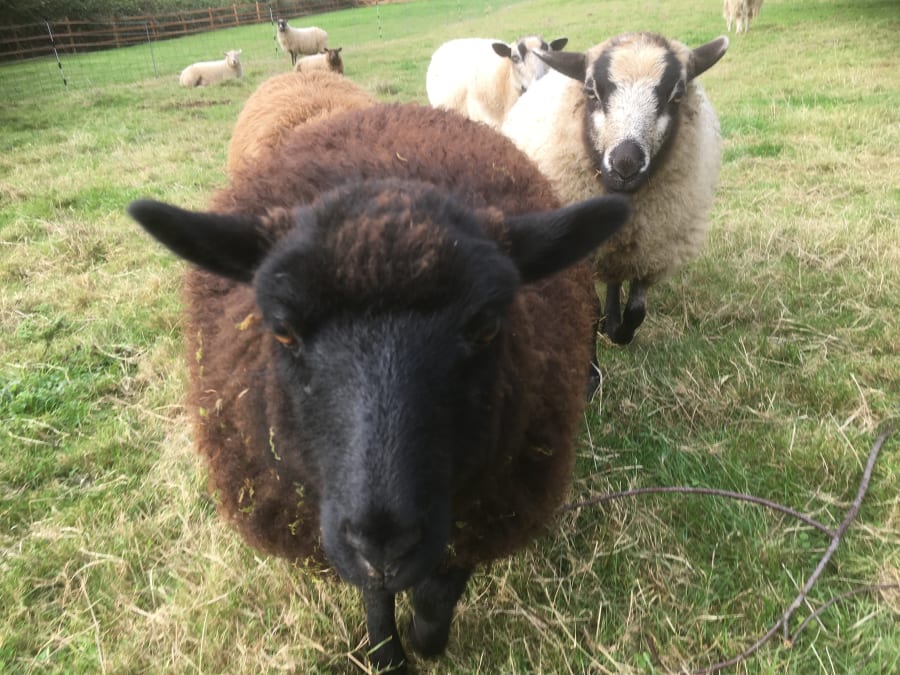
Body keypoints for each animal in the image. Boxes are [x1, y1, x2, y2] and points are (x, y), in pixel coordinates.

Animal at [127, 88, 631, 671]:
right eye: (283, 330)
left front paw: (423, 637)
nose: (384, 545)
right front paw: (388, 652)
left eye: (485, 326)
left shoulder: (486, 499)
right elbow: (374, 594)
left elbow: (437, 598)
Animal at [502, 32, 729, 346]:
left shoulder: (650, 251)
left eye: (676, 96)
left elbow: (636, 310)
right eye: (591, 92)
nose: (625, 165)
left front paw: (618, 331)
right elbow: (590, 306)